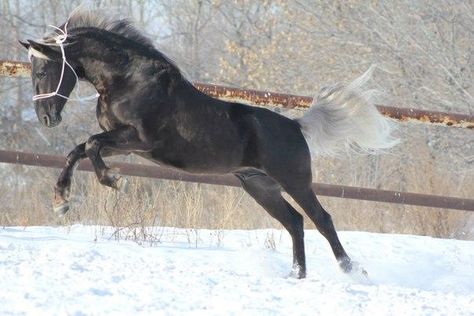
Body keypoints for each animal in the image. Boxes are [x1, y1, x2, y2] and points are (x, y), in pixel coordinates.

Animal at [20, 9, 398, 278]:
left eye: (42, 72)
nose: (46, 118)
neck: (129, 79)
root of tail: (295, 125)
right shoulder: (125, 142)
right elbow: (80, 150)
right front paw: (61, 201)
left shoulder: (138, 139)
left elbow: (90, 146)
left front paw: (114, 181)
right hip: (260, 186)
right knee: (294, 222)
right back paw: (296, 276)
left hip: (295, 181)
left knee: (322, 219)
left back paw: (351, 271)